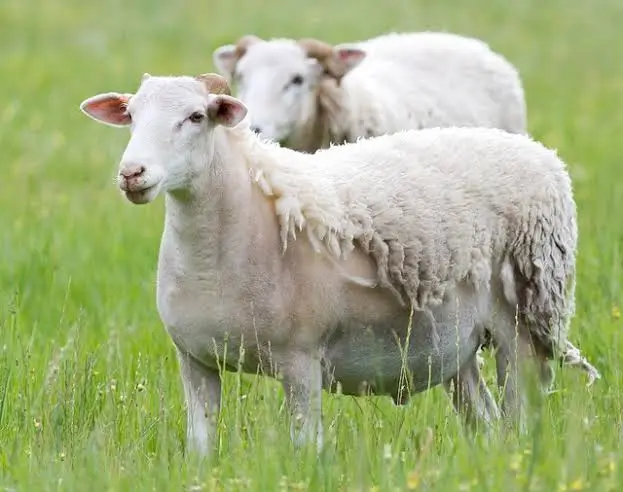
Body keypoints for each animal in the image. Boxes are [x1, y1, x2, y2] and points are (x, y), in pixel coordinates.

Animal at [79, 73, 600, 458]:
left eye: (195, 117)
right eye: (131, 116)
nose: (132, 173)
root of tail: (541, 153)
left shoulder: (300, 360)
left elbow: (304, 449)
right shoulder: (195, 361)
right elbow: (201, 449)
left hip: (524, 324)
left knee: (520, 421)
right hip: (458, 344)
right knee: (486, 422)